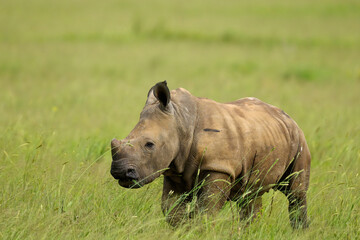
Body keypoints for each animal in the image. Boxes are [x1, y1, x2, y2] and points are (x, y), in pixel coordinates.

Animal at [111, 81, 310, 229]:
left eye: (149, 145)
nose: (120, 172)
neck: (181, 120)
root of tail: (287, 116)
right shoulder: (173, 168)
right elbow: (171, 209)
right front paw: (184, 229)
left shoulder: (218, 166)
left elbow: (207, 209)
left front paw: (200, 230)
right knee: (251, 195)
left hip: (299, 138)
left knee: (296, 193)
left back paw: (299, 231)